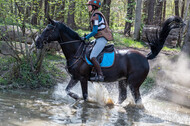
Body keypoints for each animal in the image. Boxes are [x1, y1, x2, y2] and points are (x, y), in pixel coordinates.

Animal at [35, 16, 184, 105]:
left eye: (48, 29)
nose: (37, 42)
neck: (77, 51)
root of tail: (145, 57)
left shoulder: (82, 78)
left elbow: (85, 95)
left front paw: (83, 100)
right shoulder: (75, 77)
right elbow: (67, 90)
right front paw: (76, 97)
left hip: (134, 84)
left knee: (137, 100)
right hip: (123, 81)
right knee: (123, 97)